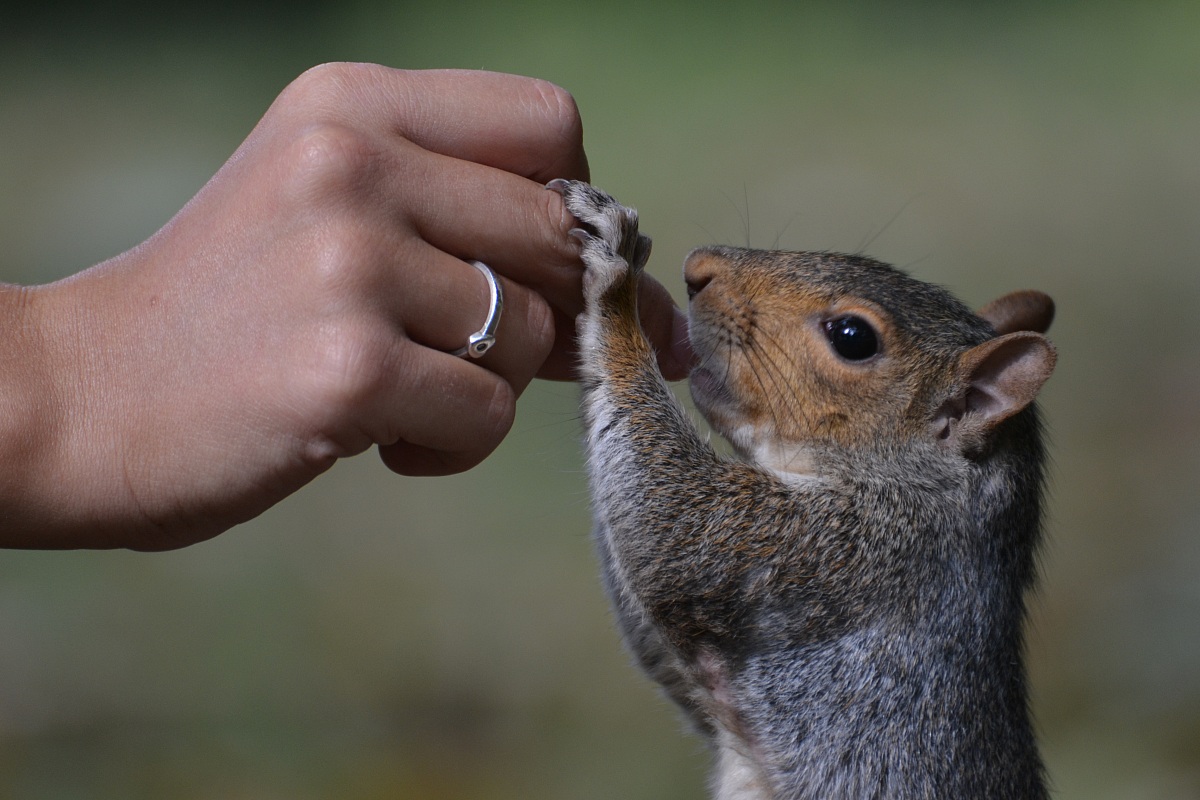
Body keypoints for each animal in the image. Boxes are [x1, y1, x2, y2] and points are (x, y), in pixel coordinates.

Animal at [547, 179, 1057, 800]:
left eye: (853, 337)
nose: (697, 268)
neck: (923, 487)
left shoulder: (841, 551)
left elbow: (670, 524)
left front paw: (617, 285)